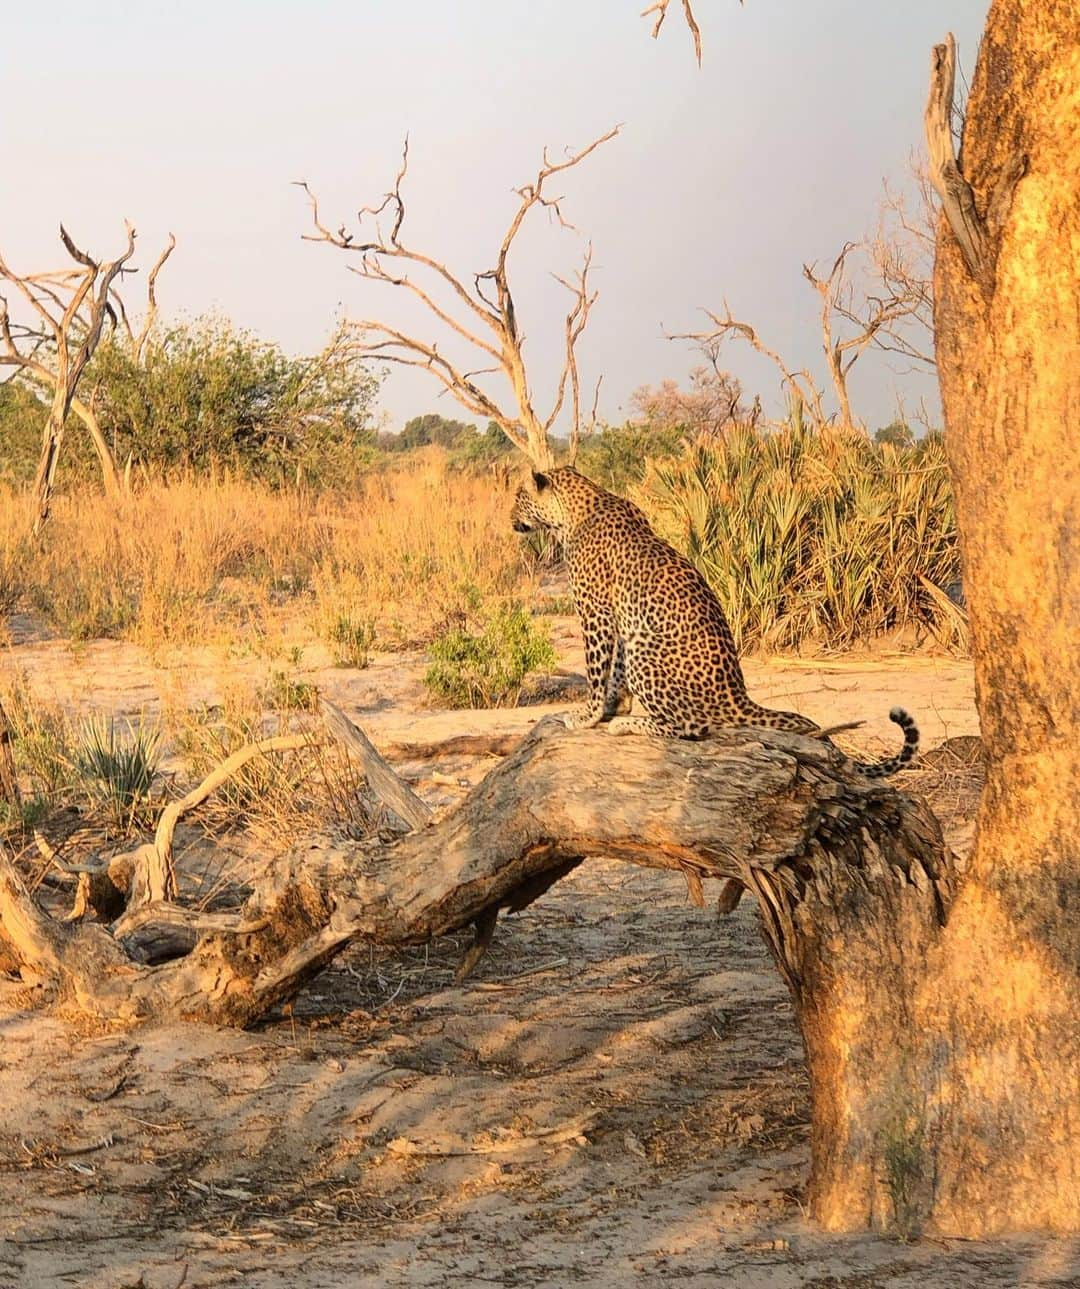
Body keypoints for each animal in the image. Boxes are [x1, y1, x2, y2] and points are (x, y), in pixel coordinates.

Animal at [512, 469, 917, 778]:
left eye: (518, 497)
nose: (510, 518)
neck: (573, 512)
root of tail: (739, 697)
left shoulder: (594, 611)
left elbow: (597, 668)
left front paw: (589, 715)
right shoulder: (622, 619)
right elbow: (615, 670)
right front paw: (615, 706)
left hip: (648, 653)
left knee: (687, 728)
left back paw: (629, 726)